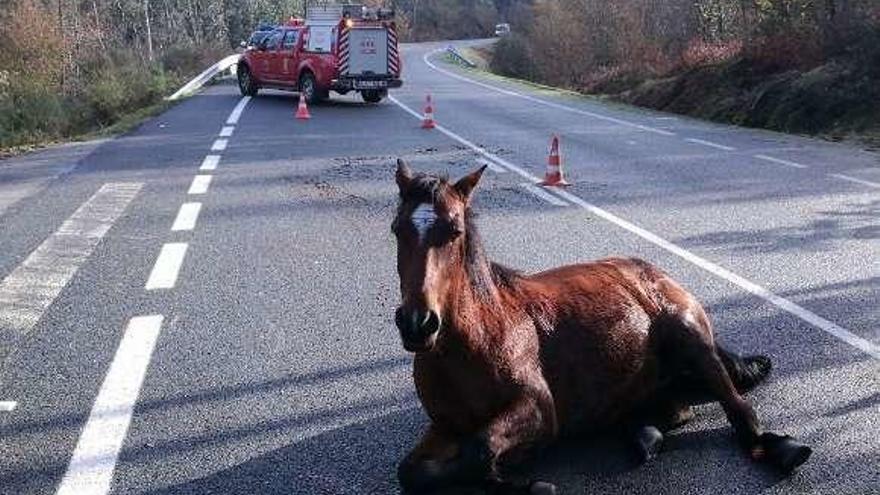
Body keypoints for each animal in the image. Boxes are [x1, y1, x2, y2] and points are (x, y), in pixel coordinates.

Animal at [392, 161, 812, 494]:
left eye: (454, 231)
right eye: (397, 228)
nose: (417, 324)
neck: (480, 337)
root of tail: (648, 269)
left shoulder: (539, 410)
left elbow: (479, 450)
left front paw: (526, 483)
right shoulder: (445, 426)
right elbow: (413, 472)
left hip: (689, 335)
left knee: (740, 409)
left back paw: (780, 449)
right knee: (678, 408)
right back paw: (645, 434)